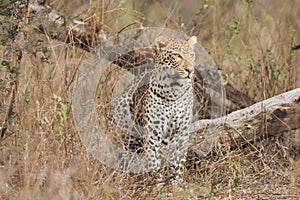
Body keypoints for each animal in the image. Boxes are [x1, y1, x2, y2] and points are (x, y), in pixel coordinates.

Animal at [107, 35, 197, 184]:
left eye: (192, 55)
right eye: (177, 55)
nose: (190, 70)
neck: (174, 92)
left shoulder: (182, 133)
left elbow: (178, 161)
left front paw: (177, 182)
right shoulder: (153, 133)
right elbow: (153, 161)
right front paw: (157, 183)